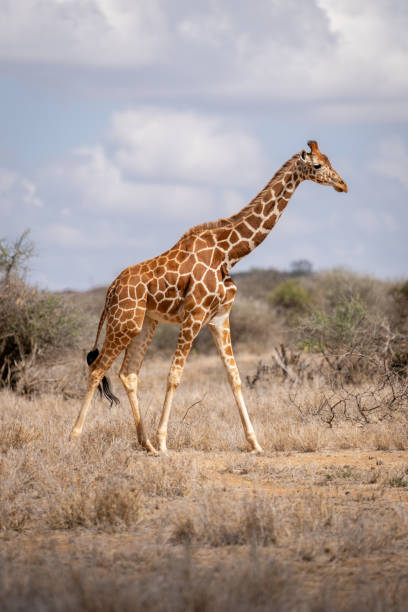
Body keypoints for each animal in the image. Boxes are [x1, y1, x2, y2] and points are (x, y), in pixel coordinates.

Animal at [70, 140, 348, 454]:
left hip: (143, 324)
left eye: (330, 160)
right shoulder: (195, 315)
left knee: (128, 374)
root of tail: (110, 290)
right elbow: (174, 375)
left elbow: (234, 377)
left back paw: (146, 444)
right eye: (317, 165)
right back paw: (75, 438)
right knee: (96, 369)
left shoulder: (219, 318)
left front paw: (255, 443)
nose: (343, 184)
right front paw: (164, 441)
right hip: (123, 322)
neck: (229, 253)